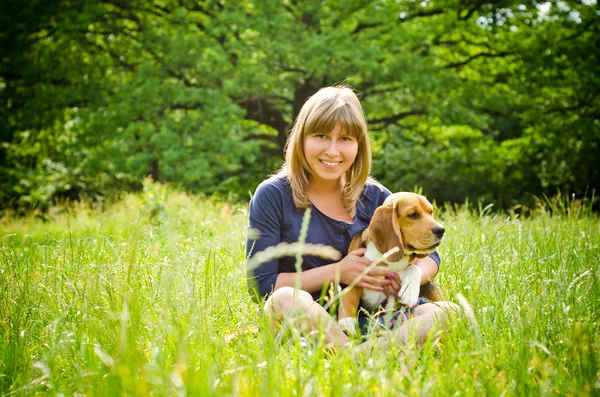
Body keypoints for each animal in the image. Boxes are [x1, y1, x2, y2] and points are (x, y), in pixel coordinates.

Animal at [338, 190, 446, 332]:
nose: (441, 230)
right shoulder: (354, 276)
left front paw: (409, 291)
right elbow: (349, 296)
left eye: (431, 212)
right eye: (413, 215)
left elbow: (413, 268)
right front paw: (346, 322)